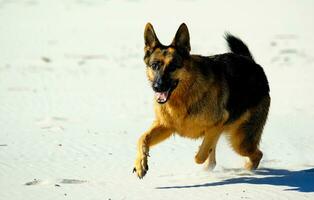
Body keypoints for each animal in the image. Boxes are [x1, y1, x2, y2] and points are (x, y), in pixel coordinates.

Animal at [132, 23, 270, 178]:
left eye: (173, 67)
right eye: (154, 65)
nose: (157, 87)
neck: (183, 96)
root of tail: (253, 64)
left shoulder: (217, 124)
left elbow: (200, 155)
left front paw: (200, 155)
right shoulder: (166, 126)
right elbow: (142, 139)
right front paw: (140, 164)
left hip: (240, 142)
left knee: (257, 154)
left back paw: (247, 170)